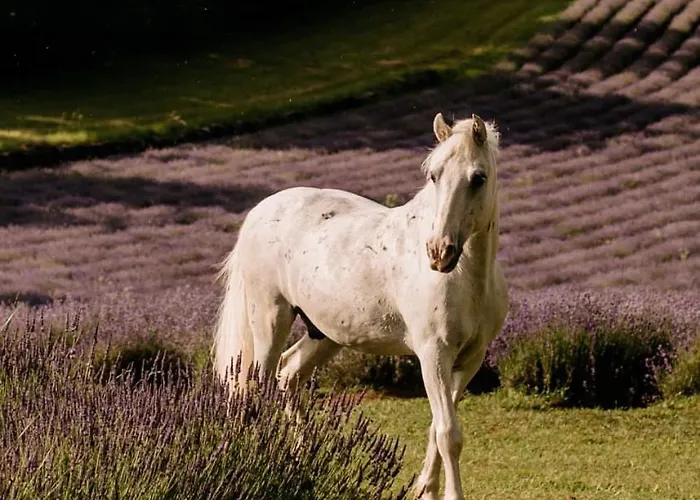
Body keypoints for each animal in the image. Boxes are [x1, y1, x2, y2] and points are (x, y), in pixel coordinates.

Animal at [213, 112, 508, 500]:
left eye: (478, 178)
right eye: (434, 175)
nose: (439, 252)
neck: (467, 279)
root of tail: (259, 212)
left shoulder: (469, 360)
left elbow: (437, 429)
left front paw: (426, 489)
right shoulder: (434, 356)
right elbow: (448, 435)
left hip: (323, 334)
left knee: (289, 376)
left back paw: (302, 466)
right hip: (269, 322)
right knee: (254, 389)